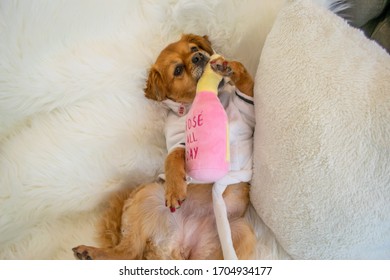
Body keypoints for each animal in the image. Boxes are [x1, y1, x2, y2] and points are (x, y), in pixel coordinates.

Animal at [72, 34, 256, 260]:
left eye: (194, 48)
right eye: (177, 70)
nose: (198, 57)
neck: (210, 97)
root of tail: (177, 245)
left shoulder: (247, 109)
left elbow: (245, 80)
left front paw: (227, 66)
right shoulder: (181, 141)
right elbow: (172, 157)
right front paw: (175, 188)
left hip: (238, 234)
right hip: (147, 195)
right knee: (126, 251)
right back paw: (89, 252)